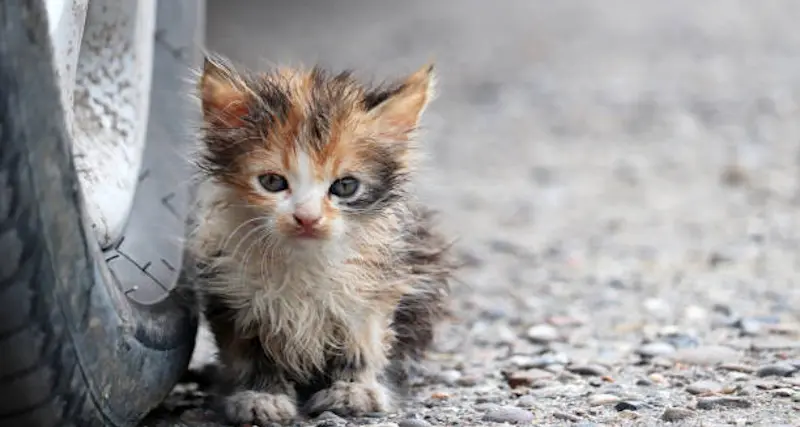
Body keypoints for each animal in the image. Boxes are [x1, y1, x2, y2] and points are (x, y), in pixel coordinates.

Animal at [184, 53, 454, 424]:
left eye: (345, 186)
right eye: (272, 182)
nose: (307, 218)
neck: (303, 259)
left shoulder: (376, 287)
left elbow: (363, 343)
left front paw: (354, 390)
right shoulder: (234, 293)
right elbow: (249, 352)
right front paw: (261, 396)